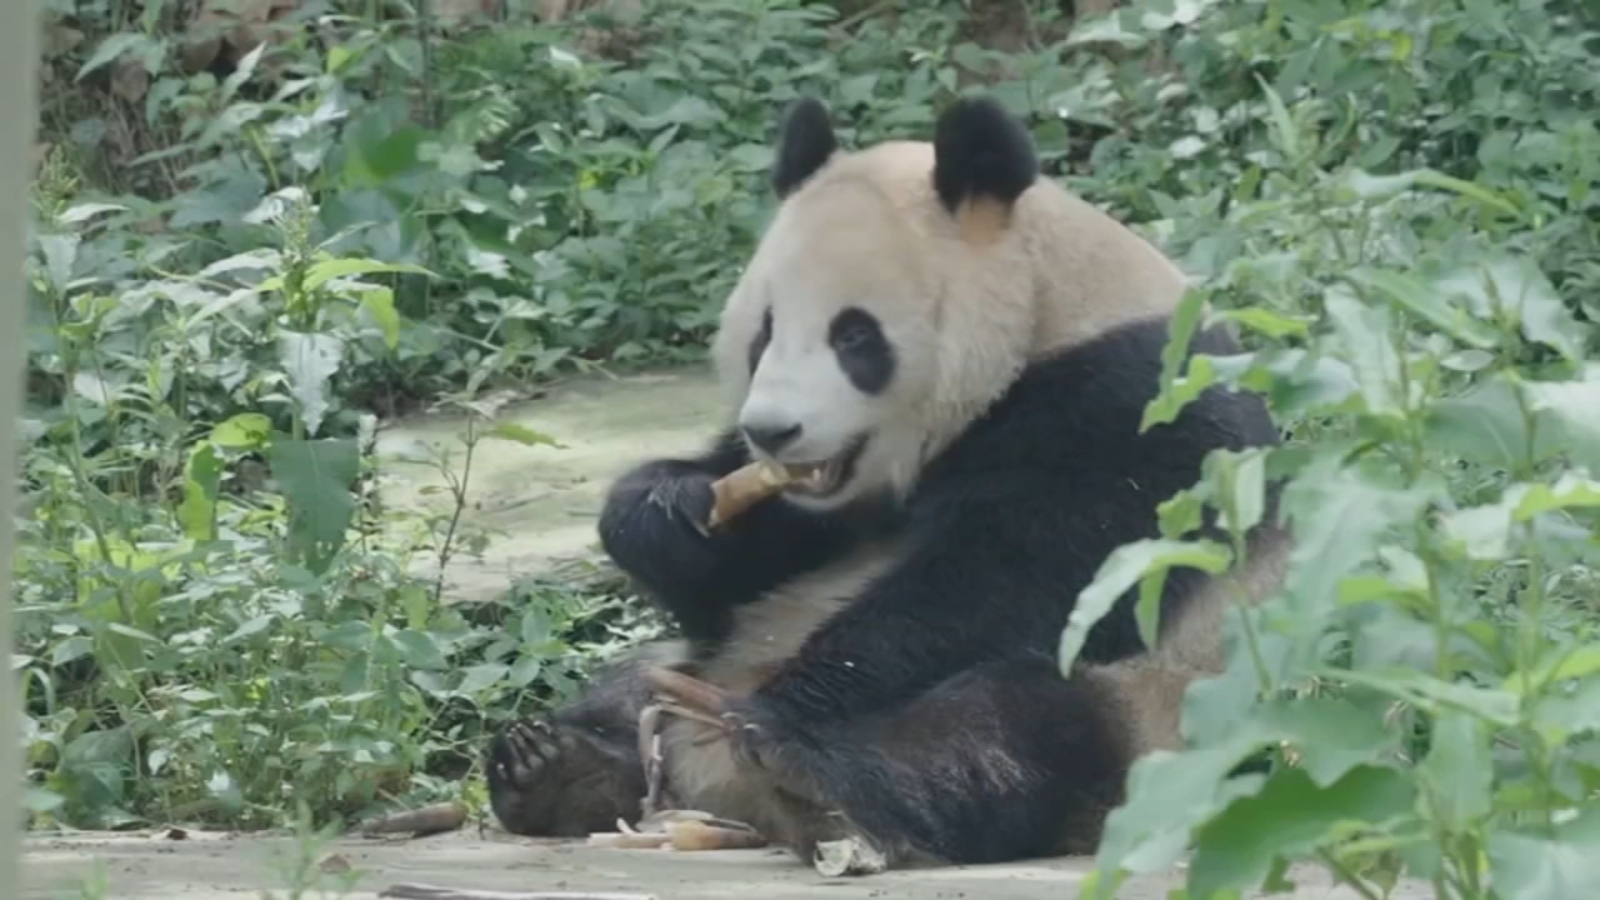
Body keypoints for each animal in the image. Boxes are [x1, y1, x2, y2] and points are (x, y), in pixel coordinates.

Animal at [485, 94, 1291, 869]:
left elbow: (1007, 585)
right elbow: (734, 570)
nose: (772, 430)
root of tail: (715, 794)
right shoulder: (816, 504)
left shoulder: (1129, 416)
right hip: (690, 669)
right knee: (631, 686)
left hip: (1161, 718)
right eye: (765, 332)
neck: (1050, 314)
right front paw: (664, 512)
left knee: (1004, 728)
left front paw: (798, 700)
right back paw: (557, 765)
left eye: (854, 336)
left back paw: (809, 776)